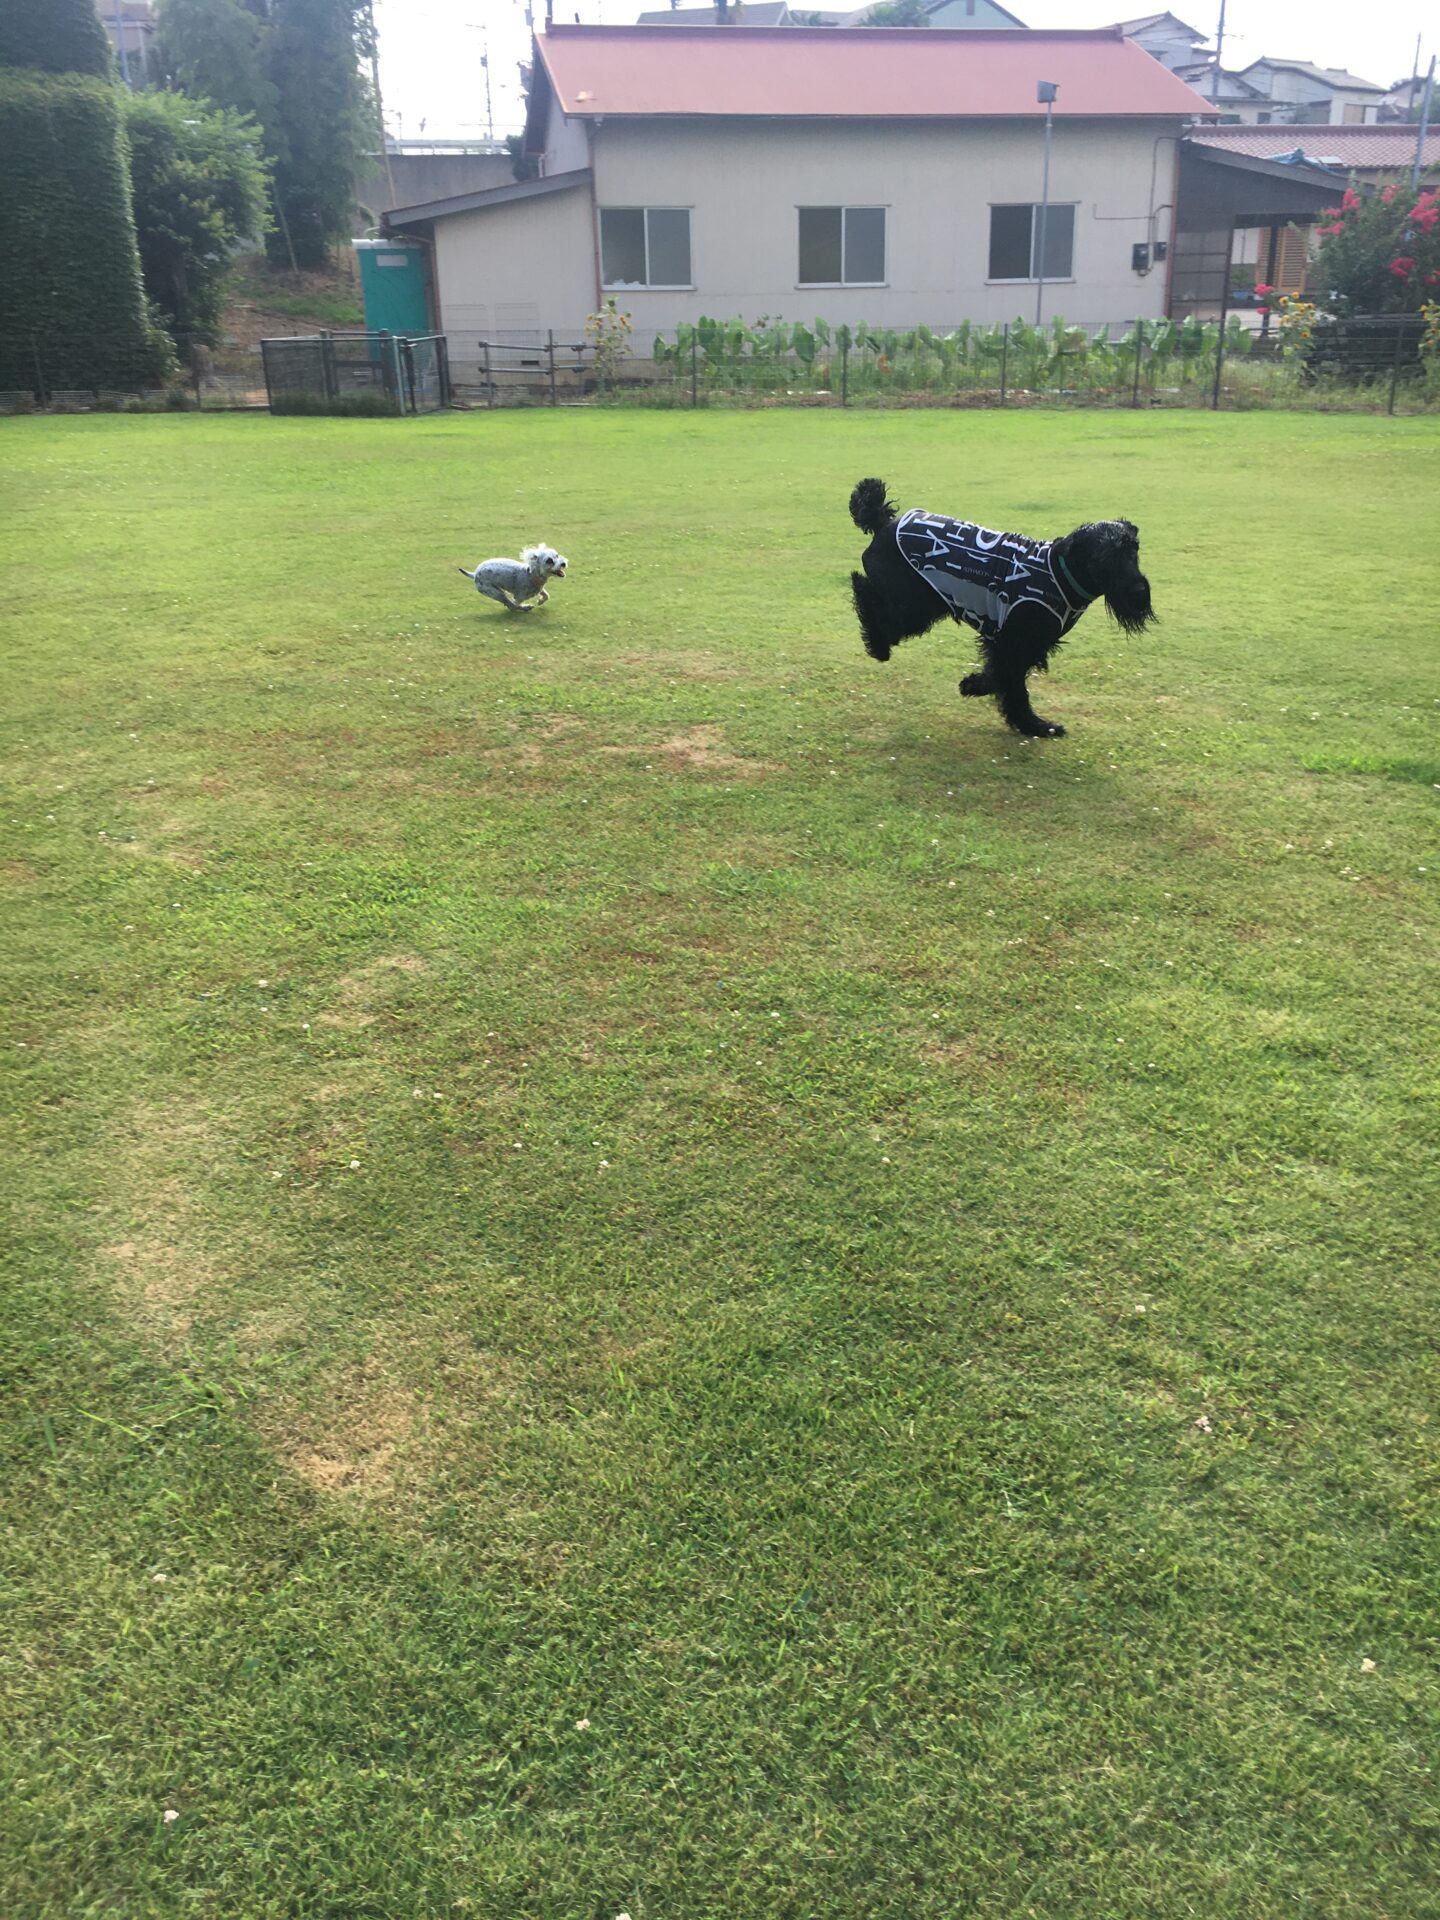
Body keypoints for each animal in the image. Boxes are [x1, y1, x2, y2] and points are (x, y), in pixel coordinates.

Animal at [848, 478, 1155, 738]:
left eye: (1133, 549)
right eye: (1105, 558)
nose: (1139, 593)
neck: (1060, 573)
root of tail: (884, 522)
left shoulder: (1026, 645)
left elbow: (999, 674)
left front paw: (973, 684)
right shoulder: (1013, 642)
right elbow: (1014, 687)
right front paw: (1034, 725)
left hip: (922, 606)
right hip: (914, 605)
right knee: (868, 599)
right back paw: (876, 640)